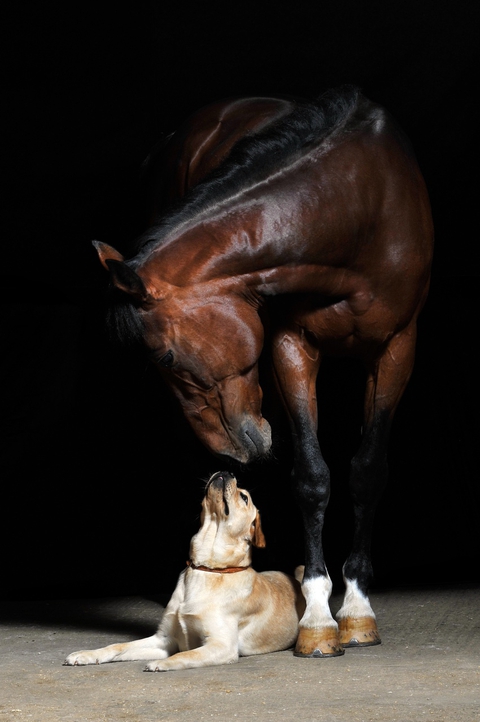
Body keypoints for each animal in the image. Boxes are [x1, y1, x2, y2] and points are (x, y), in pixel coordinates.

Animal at [94, 86, 434, 657]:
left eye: (163, 357)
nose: (230, 453)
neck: (355, 209)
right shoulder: (290, 346)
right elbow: (312, 478)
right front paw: (318, 618)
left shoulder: (396, 350)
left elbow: (367, 473)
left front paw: (357, 609)